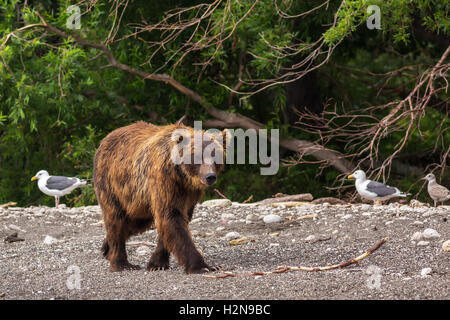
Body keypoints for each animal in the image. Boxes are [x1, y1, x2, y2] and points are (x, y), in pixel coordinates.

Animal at [92, 120, 230, 272]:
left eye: (215, 155)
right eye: (197, 156)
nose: (210, 176)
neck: (183, 176)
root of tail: (105, 139)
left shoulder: (189, 193)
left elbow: (175, 220)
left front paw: (156, 263)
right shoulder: (165, 180)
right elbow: (171, 216)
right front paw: (202, 266)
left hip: (138, 200)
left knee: (134, 222)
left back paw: (106, 248)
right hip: (112, 184)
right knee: (116, 219)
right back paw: (122, 263)